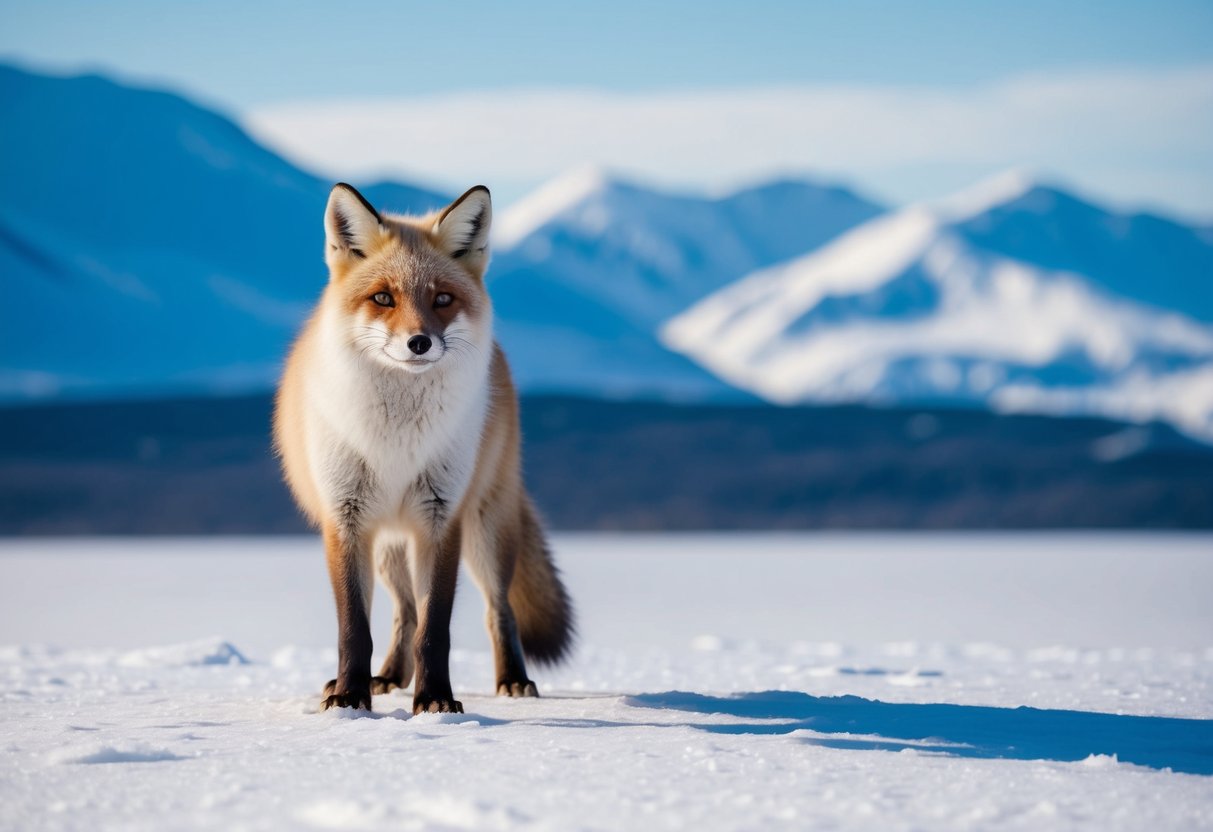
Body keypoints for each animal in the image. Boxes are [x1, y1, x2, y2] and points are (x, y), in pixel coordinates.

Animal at [273, 182, 574, 714]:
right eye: (383, 297)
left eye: (442, 299)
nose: (419, 343)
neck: (396, 440)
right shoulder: (346, 518)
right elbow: (355, 629)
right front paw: (349, 696)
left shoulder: (441, 517)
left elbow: (436, 630)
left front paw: (434, 699)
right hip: (389, 544)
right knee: (404, 613)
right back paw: (387, 677)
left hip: (485, 529)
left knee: (497, 610)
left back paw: (513, 679)